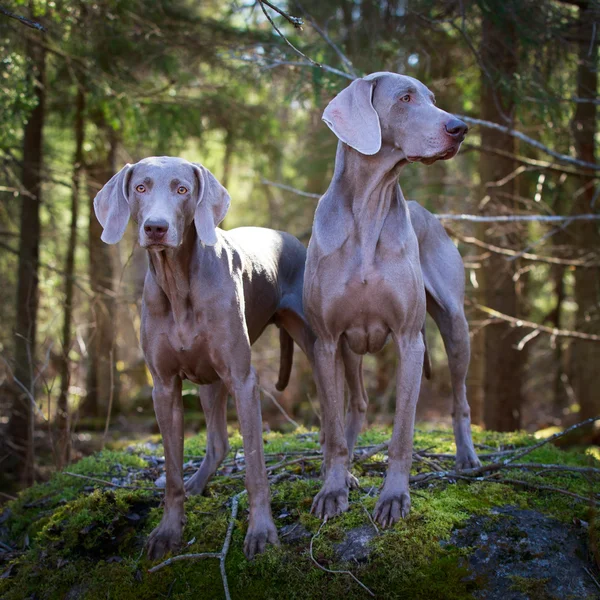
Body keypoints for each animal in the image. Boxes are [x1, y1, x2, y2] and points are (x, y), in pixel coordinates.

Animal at [308, 72, 480, 528]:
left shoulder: (409, 340)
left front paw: (394, 498)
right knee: (355, 406)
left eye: (433, 98)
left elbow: (402, 432)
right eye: (405, 98)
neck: (370, 207)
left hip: (456, 328)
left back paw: (467, 458)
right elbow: (334, 428)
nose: (460, 127)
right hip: (348, 350)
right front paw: (332, 488)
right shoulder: (326, 340)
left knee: (460, 399)